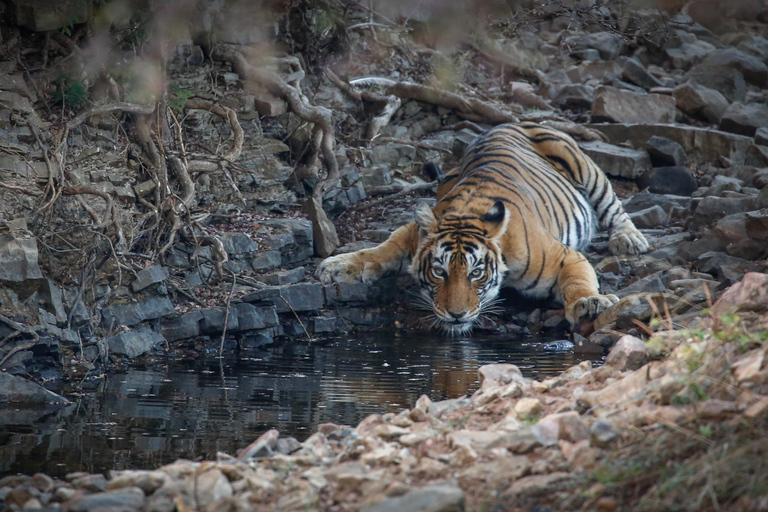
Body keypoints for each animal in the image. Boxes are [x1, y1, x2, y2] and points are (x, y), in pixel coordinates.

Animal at [316, 122, 648, 334]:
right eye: (439, 272)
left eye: (476, 273)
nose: (456, 315)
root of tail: (507, 122)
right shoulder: (414, 231)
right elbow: (383, 248)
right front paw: (337, 266)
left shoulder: (564, 255)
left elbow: (576, 281)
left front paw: (589, 303)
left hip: (582, 165)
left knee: (613, 205)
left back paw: (629, 239)